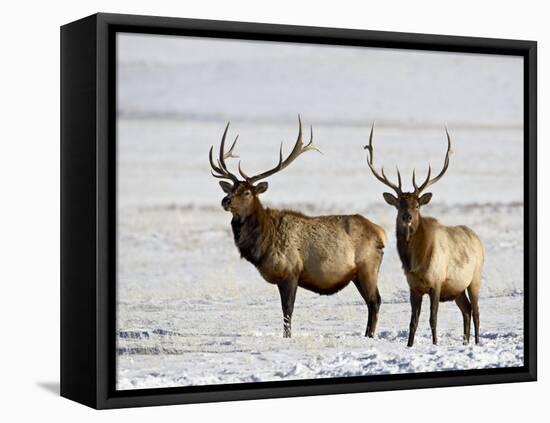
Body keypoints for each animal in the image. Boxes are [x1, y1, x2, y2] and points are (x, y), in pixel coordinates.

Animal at [209, 117, 386, 340]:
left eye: (248, 192)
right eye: (231, 188)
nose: (225, 200)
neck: (263, 244)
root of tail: (381, 233)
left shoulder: (290, 272)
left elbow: (287, 311)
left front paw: (287, 337)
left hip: (367, 267)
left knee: (375, 301)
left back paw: (369, 335)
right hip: (357, 274)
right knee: (371, 302)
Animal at [366, 125, 488, 348]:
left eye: (417, 205)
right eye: (399, 204)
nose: (407, 216)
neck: (417, 262)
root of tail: (477, 238)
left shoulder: (437, 282)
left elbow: (433, 318)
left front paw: (435, 344)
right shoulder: (413, 287)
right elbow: (412, 321)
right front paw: (409, 345)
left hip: (475, 277)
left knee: (475, 311)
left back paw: (475, 343)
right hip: (457, 288)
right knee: (466, 310)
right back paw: (465, 342)